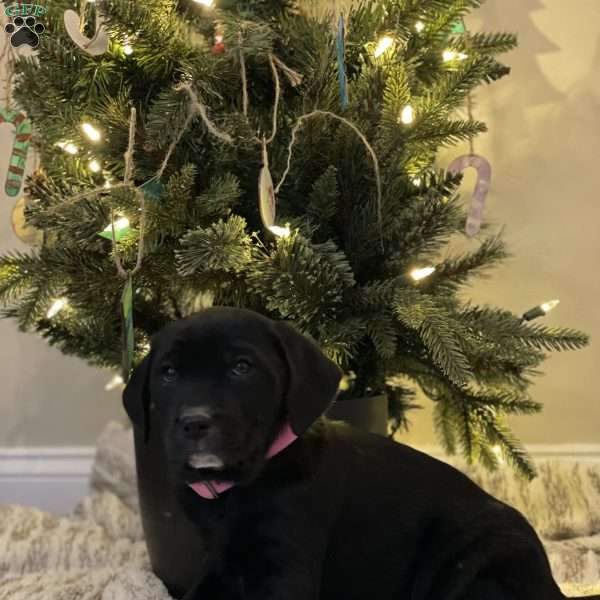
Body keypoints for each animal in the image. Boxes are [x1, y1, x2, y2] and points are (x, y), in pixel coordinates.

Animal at [123, 308, 600, 600]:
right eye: (167, 373)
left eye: (242, 367)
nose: (193, 423)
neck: (243, 485)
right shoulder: (219, 562)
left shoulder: (284, 571)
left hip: (471, 557)